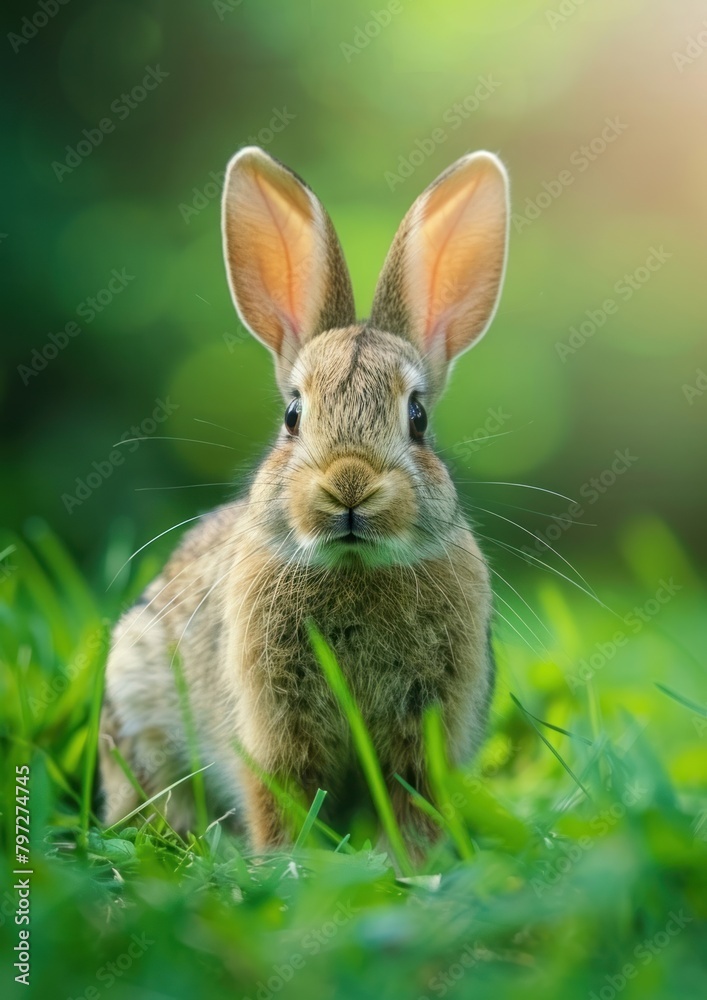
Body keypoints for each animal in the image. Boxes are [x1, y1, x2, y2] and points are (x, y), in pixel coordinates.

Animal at [99, 145, 510, 853]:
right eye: (293, 414)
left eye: (419, 418)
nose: (349, 485)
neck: (353, 565)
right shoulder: (273, 725)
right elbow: (280, 792)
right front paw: (286, 860)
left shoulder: (426, 730)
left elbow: (413, 799)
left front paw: (410, 860)